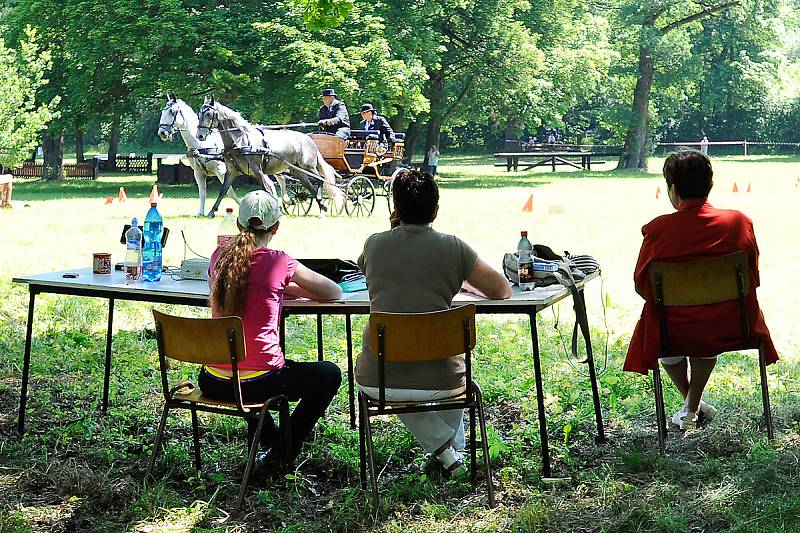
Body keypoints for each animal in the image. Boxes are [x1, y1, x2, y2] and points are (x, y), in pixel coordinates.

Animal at [197, 96, 344, 215]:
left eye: (209, 114)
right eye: (199, 114)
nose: (200, 136)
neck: (240, 141)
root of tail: (309, 140)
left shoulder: (257, 170)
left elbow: (266, 189)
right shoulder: (231, 171)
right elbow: (223, 190)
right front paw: (211, 212)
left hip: (308, 167)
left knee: (320, 180)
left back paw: (321, 204)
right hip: (298, 172)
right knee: (311, 187)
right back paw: (321, 207)